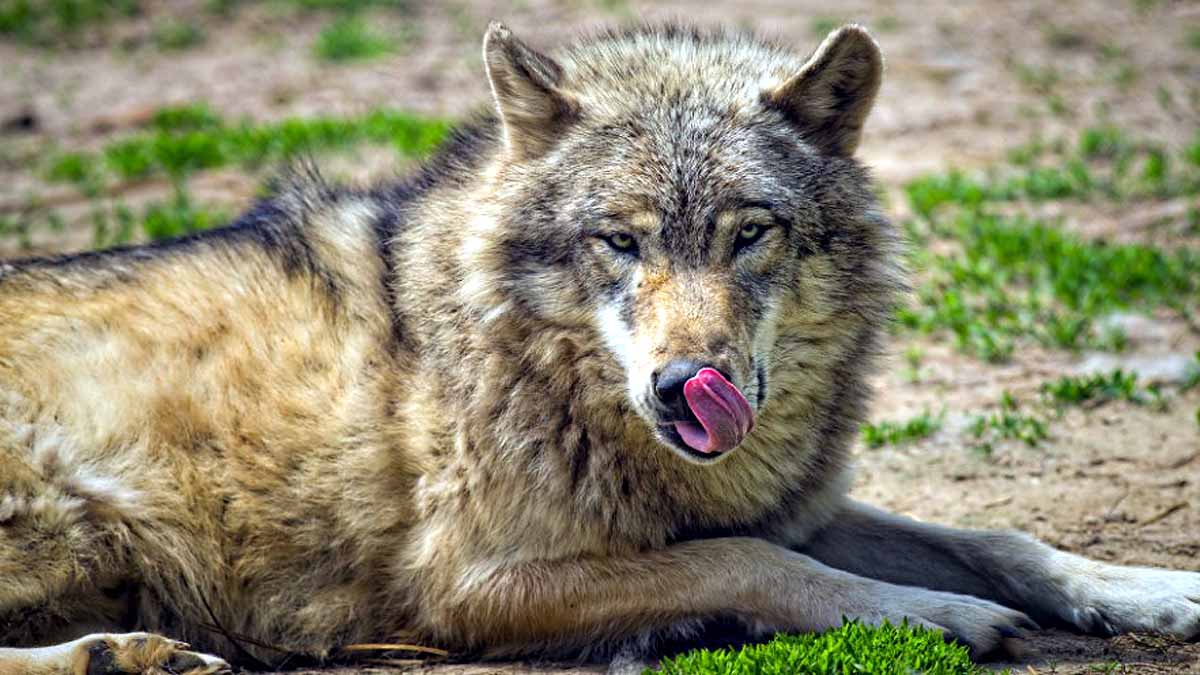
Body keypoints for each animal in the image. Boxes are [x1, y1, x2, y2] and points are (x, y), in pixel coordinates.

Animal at [1, 20, 1198, 675]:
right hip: (70, 519)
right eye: (619, 241)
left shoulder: (789, 501)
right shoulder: (469, 585)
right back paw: (118, 653)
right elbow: (754, 563)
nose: (684, 388)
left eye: (749, 232)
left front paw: (1147, 591)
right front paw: (939, 618)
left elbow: (1001, 537)